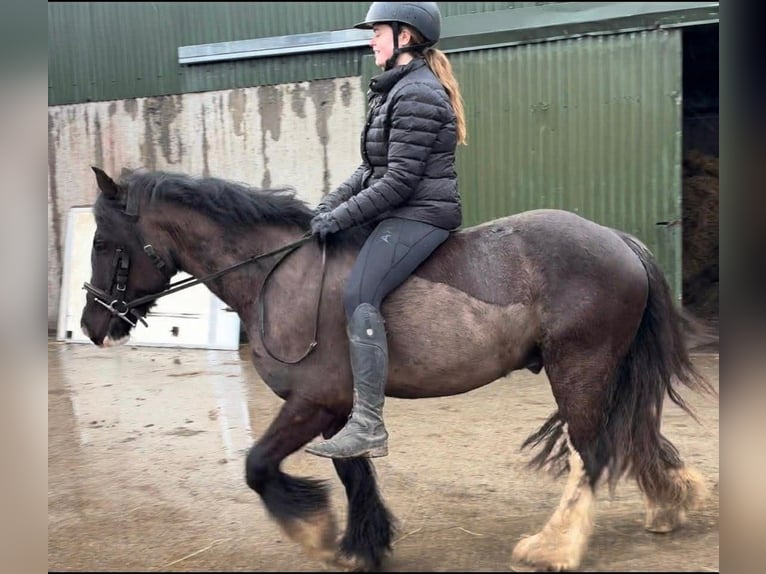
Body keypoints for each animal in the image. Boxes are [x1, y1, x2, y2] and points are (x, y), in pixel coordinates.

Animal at [79, 166, 715, 571]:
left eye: (103, 242)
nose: (90, 324)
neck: (278, 277)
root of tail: (618, 240)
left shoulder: (312, 403)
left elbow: (258, 465)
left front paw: (314, 532)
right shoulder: (338, 412)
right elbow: (353, 472)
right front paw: (362, 545)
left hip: (578, 368)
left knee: (594, 451)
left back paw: (553, 549)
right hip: (607, 370)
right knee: (634, 435)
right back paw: (670, 503)